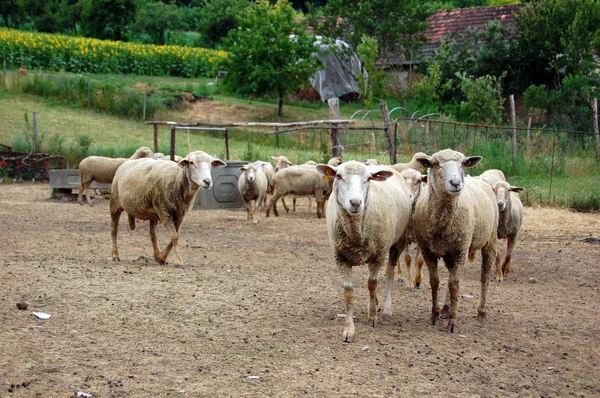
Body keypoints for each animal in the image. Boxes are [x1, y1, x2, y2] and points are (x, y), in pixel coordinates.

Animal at [318, 161, 412, 342]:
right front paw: (349, 330)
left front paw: (373, 317)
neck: (356, 234)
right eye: (338, 176)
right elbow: (349, 293)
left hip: (397, 242)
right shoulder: (340, 257)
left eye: (368, 179)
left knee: (389, 274)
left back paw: (386, 309)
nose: (355, 203)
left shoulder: (378, 255)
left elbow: (372, 285)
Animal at [414, 149, 500, 332]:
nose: (455, 183)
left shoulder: (461, 250)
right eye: (435, 164)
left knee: (484, 276)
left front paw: (453, 322)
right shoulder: (427, 251)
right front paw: (435, 316)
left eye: (462, 164)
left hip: (490, 240)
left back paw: (481, 311)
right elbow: (435, 282)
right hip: (449, 251)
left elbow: (455, 285)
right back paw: (446, 309)